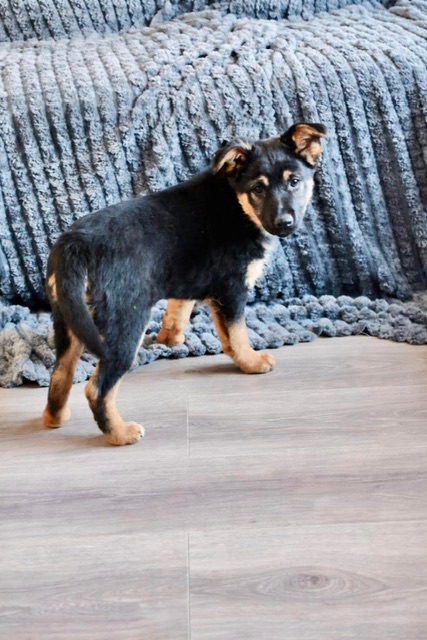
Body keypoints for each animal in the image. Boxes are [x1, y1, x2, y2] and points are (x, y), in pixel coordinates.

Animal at [42, 122, 326, 445]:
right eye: (258, 189)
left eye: (294, 182)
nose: (284, 223)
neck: (235, 202)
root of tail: (75, 244)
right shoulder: (231, 288)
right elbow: (237, 335)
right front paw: (252, 363)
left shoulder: (188, 281)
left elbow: (178, 312)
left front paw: (171, 340)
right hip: (126, 319)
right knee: (97, 387)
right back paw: (120, 433)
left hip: (68, 317)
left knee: (60, 373)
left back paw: (55, 418)